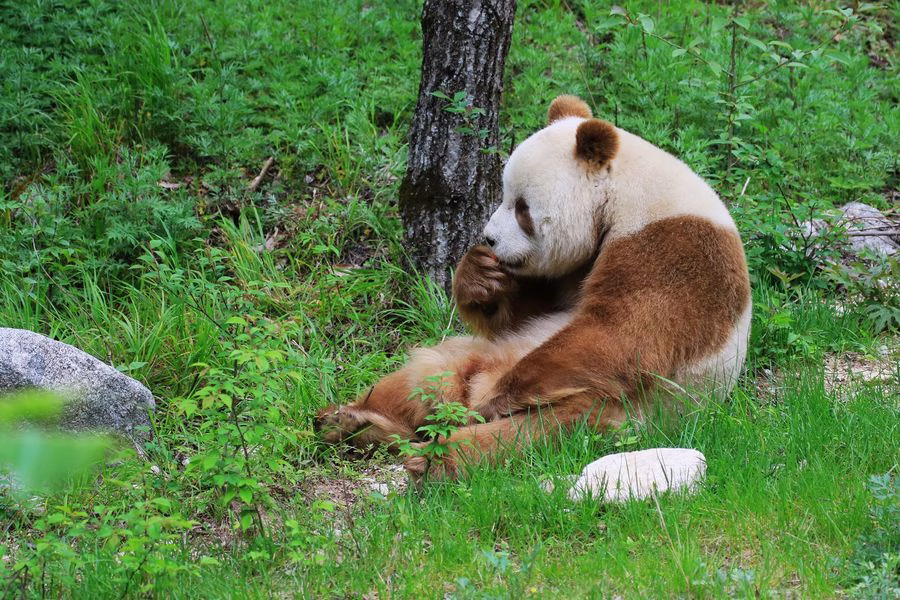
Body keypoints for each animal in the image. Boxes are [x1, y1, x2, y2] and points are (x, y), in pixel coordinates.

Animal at [315, 95, 751, 478]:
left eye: (523, 208)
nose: (490, 239)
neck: (623, 191)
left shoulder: (671, 249)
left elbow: (623, 334)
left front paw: (500, 395)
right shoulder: (573, 268)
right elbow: (535, 308)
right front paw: (480, 276)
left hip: (617, 410)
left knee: (538, 432)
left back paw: (438, 456)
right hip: (486, 354)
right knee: (428, 372)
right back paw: (354, 421)